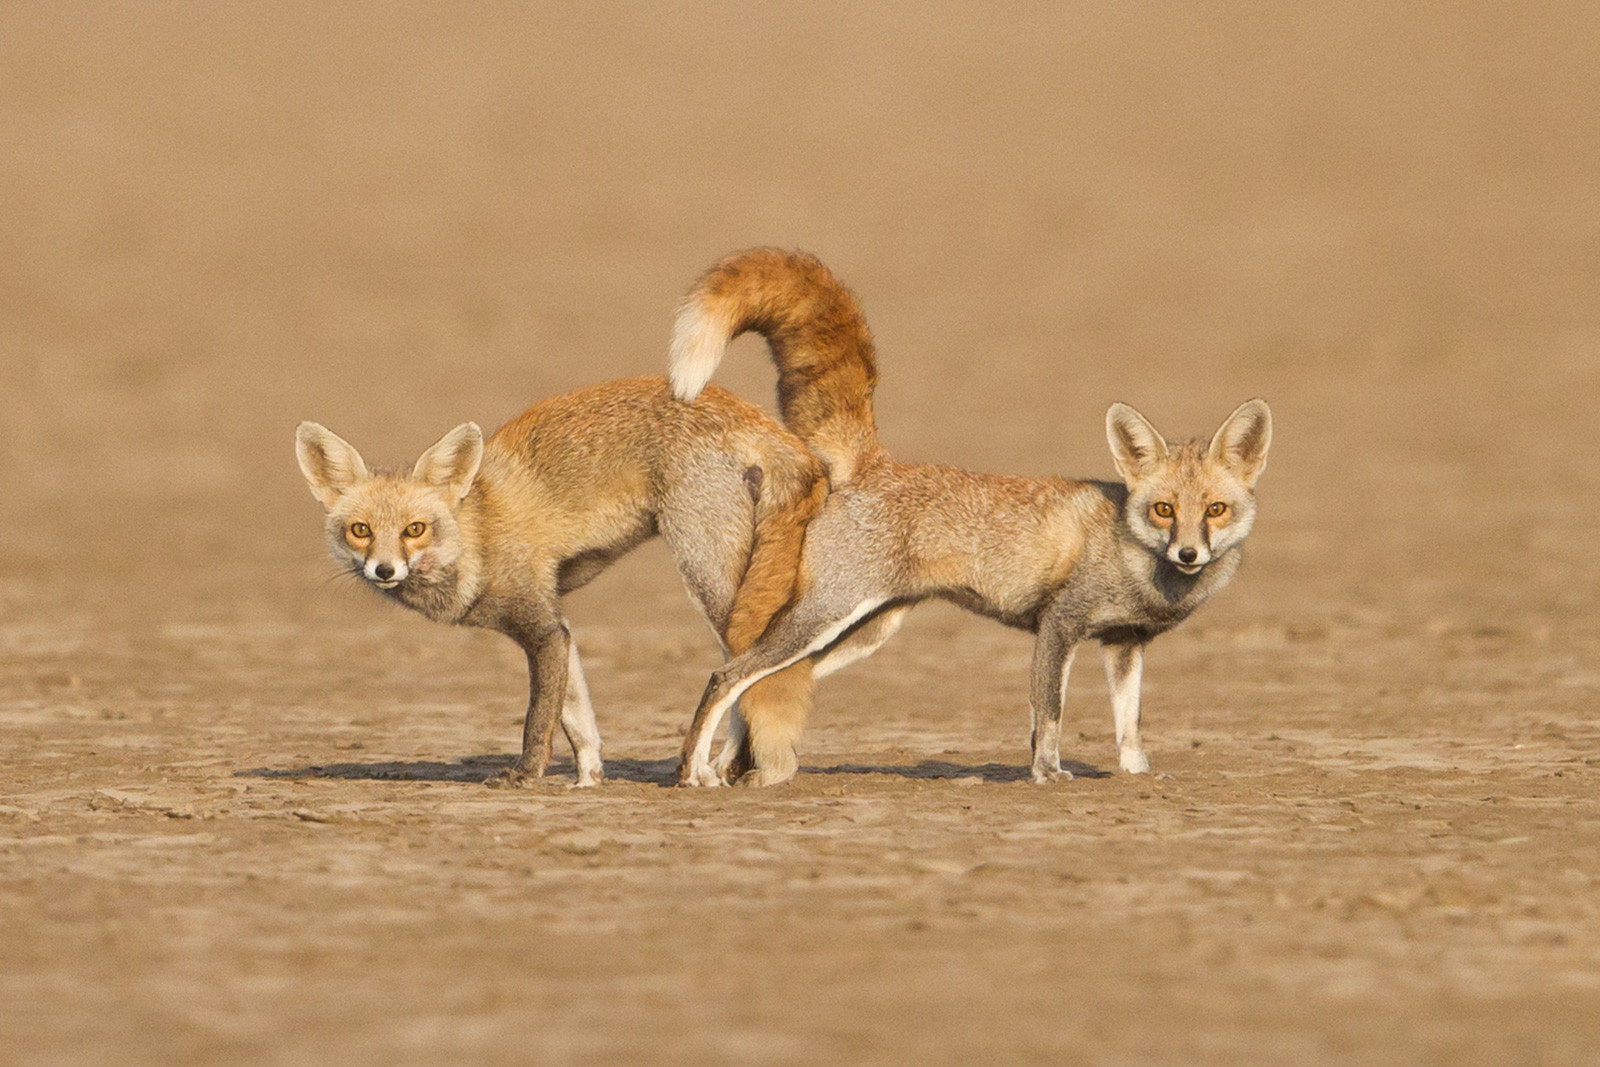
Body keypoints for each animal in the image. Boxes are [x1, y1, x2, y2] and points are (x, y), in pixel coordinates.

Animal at [295, 375, 828, 787]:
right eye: (360, 531)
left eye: (414, 530)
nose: (384, 570)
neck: (477, 534)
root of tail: (741, 406)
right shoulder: (559, 626)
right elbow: (578, 721)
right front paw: (589, 782)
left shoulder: (542, 627)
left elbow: (539, 719)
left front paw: (526, 776)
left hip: (708, 577)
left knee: (738, 671)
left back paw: (713, 766)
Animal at [668, 248, 1272, 786]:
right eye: (1164, 510)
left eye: (1215, 510)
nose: (1189, 553)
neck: (1135, 561)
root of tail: (873, 462)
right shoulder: (1059, 625)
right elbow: (1048, 715)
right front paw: (1048, 775)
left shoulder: (1125, 645)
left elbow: (1130, 727)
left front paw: (1137, 775)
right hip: (824, 618)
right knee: (728, 674)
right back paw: (695, 771)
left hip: (861, 633)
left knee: (761, 688)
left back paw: (739, 767)